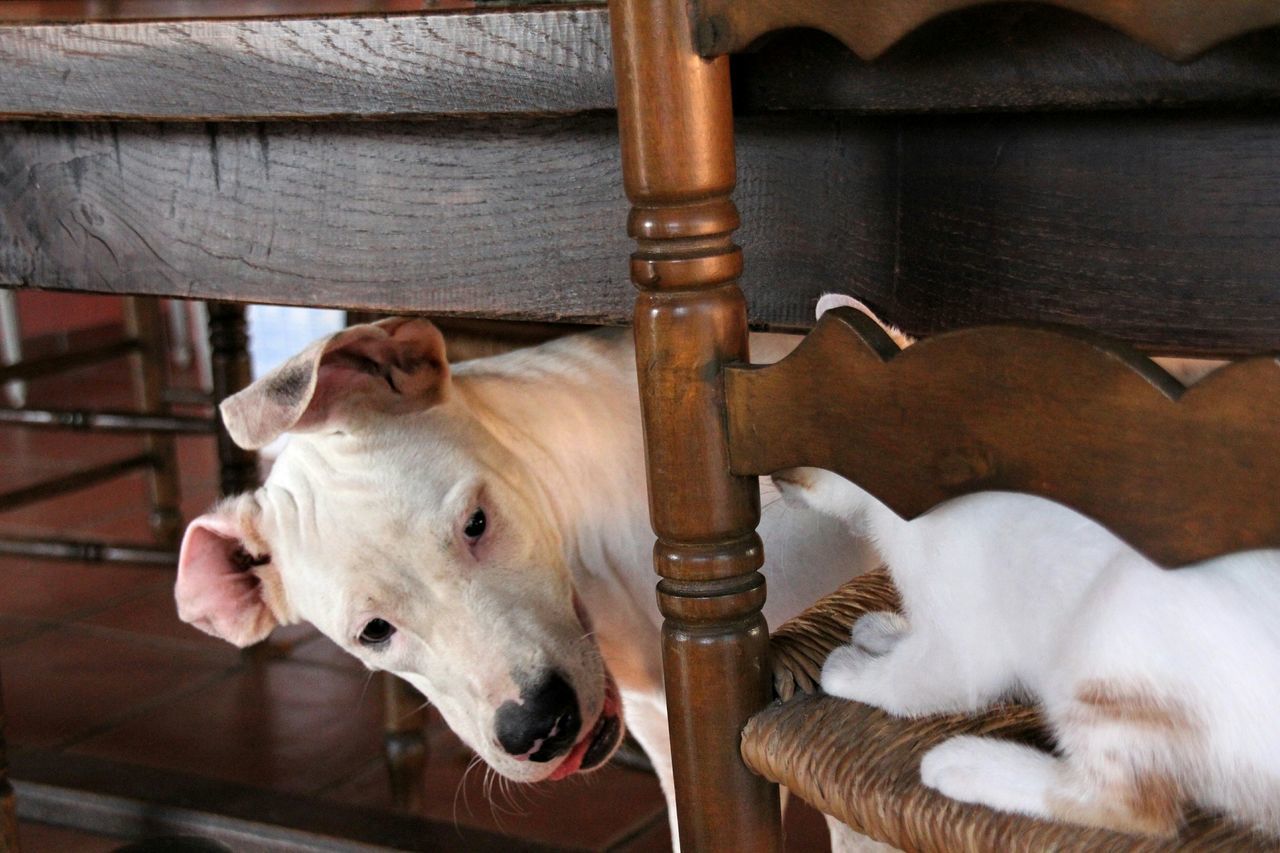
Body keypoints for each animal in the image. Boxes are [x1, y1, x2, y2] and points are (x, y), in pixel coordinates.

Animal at [768, 292, 1280, 835]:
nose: (772, 483)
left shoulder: (961, 651)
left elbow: (908, 681)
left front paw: (849, 670)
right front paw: (887, 632)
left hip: (1114, 619)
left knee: (1133, 806)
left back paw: (966, 763)